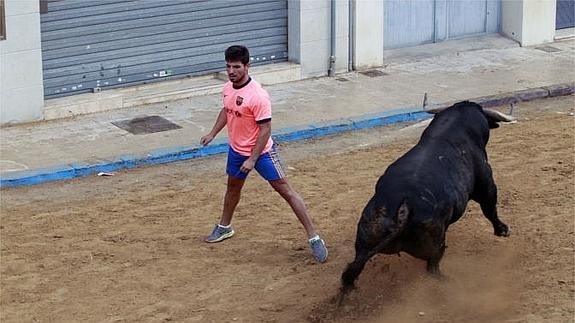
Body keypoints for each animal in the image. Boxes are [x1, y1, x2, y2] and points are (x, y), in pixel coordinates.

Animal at [342, 101, 512, 294]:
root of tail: (403, 206)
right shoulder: (487, 187)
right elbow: (490, 210)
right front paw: (502, 230)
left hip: (365, 241)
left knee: (351, 273)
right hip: (435, 244)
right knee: (432, 267)